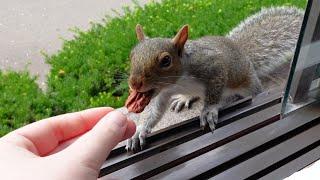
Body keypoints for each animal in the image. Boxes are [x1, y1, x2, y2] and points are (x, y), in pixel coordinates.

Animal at [124, 6, 304, 151]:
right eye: (132, 54)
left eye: (166, 60)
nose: (134, 83)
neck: (178, 82)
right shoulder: (163, 93)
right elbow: (154, 111)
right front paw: (138, 131)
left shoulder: (212, 66)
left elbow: (215, 88)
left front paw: (209, 110)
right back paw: (185, 97)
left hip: (248, 83)